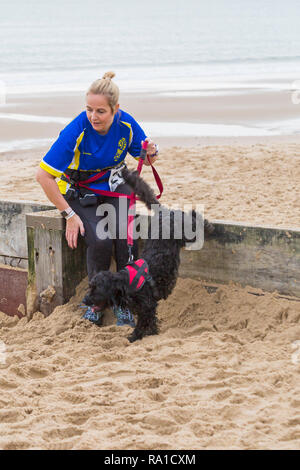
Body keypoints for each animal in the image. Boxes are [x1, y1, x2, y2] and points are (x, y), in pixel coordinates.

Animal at [82, 168, 213, 342]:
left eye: (97, 289)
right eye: (90, 286)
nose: (85, 300)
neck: (124, 283)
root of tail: (164, 212)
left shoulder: (147, 306)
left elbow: (144, 324)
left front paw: (135, 337)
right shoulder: (142, 308)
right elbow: (149, 322)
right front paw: (150, 333)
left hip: (187, 234)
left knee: (194, 218)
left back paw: (207, 225)